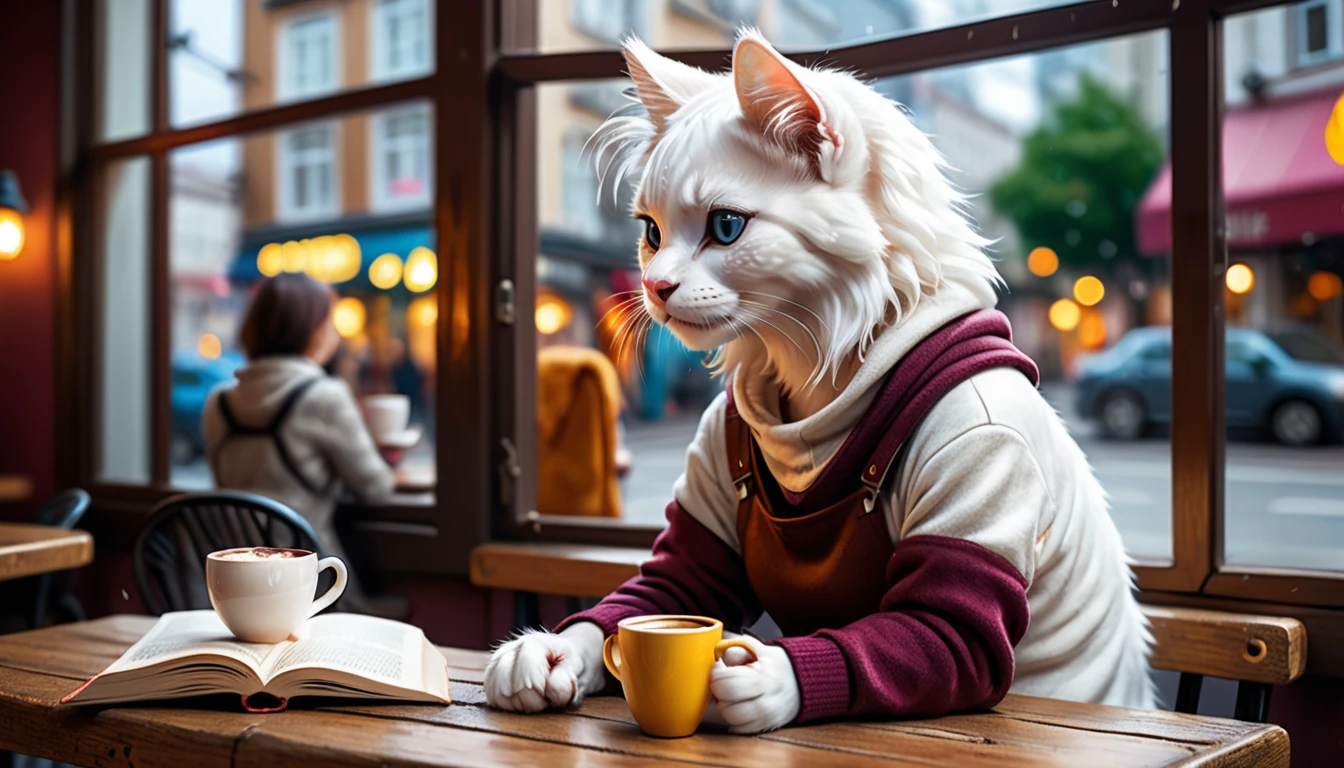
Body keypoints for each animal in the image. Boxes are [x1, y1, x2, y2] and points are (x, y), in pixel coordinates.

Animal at [483, 30, 1155, 731]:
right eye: (651, 232)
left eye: (726, 227)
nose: (654, 285)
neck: (825, 374)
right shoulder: (704, 496)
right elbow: (661, 585)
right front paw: (545, 652)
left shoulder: (986, 443)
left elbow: (945, 629)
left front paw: (769, 679)